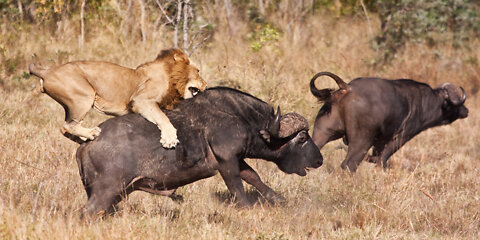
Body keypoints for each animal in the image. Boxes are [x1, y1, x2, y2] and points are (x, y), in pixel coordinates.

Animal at [28, 47, 206, 147]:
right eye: (198, 71)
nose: (206, 84)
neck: (172, 78)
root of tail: (47, 71)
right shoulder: (141, 101)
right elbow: (163, 117)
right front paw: (169, 139)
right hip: (84, 96)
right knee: (68, 125)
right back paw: (92, 133)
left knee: (64, 128)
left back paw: (84, 139)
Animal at [76, 87, 322, 217]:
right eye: (302, 137)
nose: (319, 160)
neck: (242, 118)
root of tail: (85, 145)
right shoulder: (227, 161)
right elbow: (238, 188)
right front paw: (246, 208)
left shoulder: (238, 159)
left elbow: (254, 177)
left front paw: (278, 199)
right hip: (106, 191)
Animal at [310, 71, 466, 172]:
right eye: (456, 103)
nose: (466, 111)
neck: (425, 102)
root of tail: (347, 88)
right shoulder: (401, 137)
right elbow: (382, 159)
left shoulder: (380, 141)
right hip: (362, 141)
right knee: (348, 165)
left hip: (323, 132)